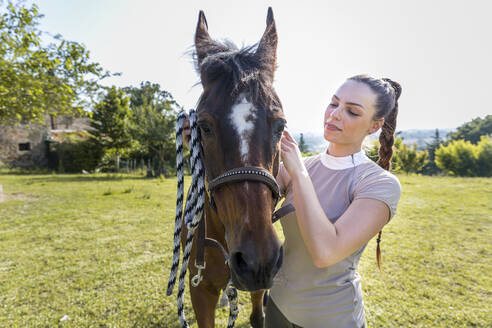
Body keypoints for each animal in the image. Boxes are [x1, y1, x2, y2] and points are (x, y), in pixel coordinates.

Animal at [184, 7, 284, 328]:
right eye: (204, 127)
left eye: (280, 125)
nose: (256, 261)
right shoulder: (199, 290)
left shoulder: (261, 284)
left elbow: (258, 315)